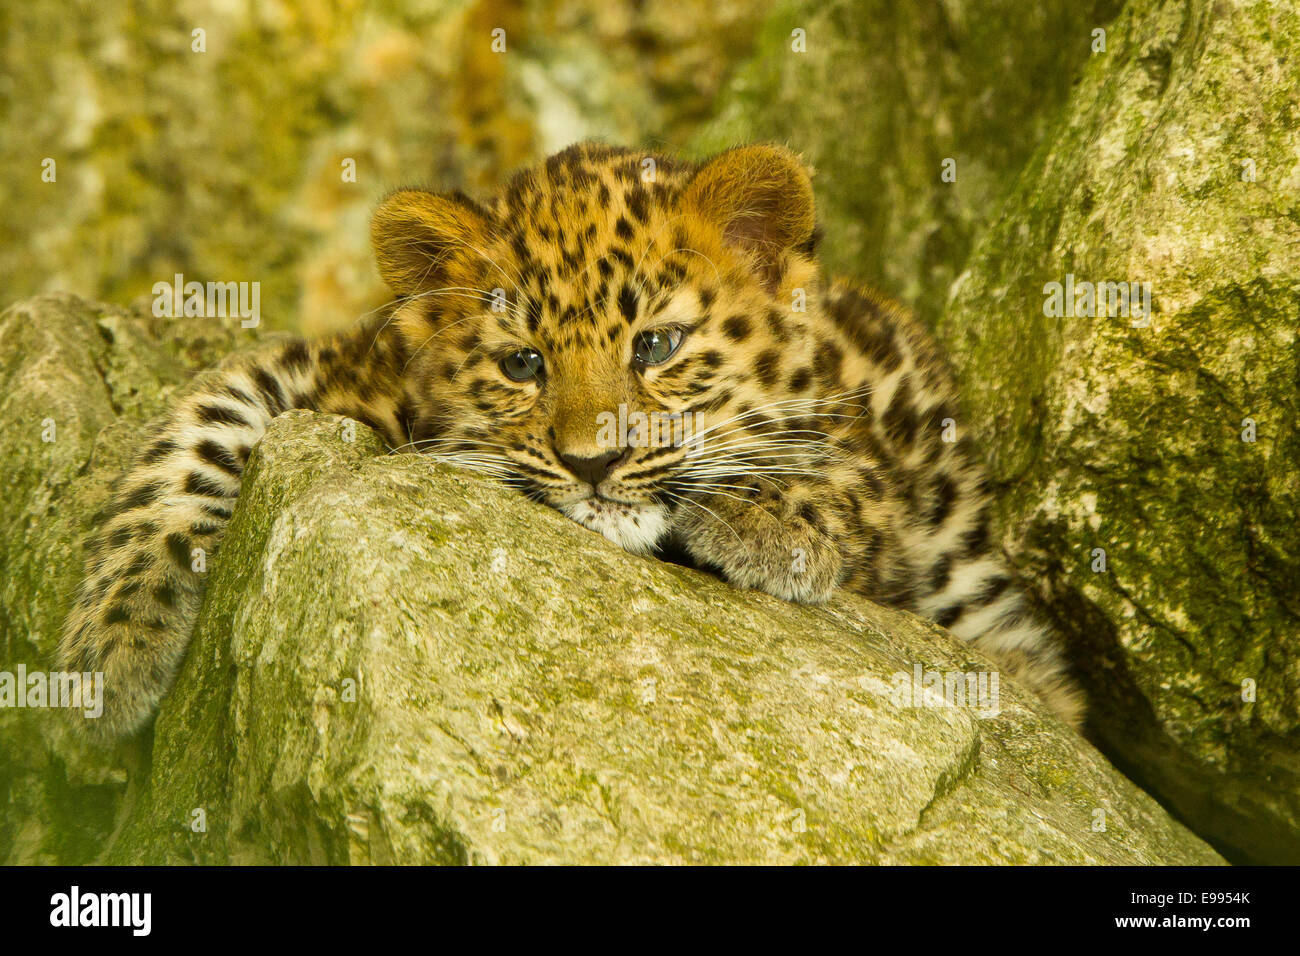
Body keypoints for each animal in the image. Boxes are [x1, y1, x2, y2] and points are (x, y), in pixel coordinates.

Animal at [58, 141, 1084, 740]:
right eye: (524, 364)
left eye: (657, 346)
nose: (594, 461)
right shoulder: (328, 370)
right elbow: (199, 430)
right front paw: (109, 657)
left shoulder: (863, 428)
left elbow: (839, 470)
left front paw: (767, 520)